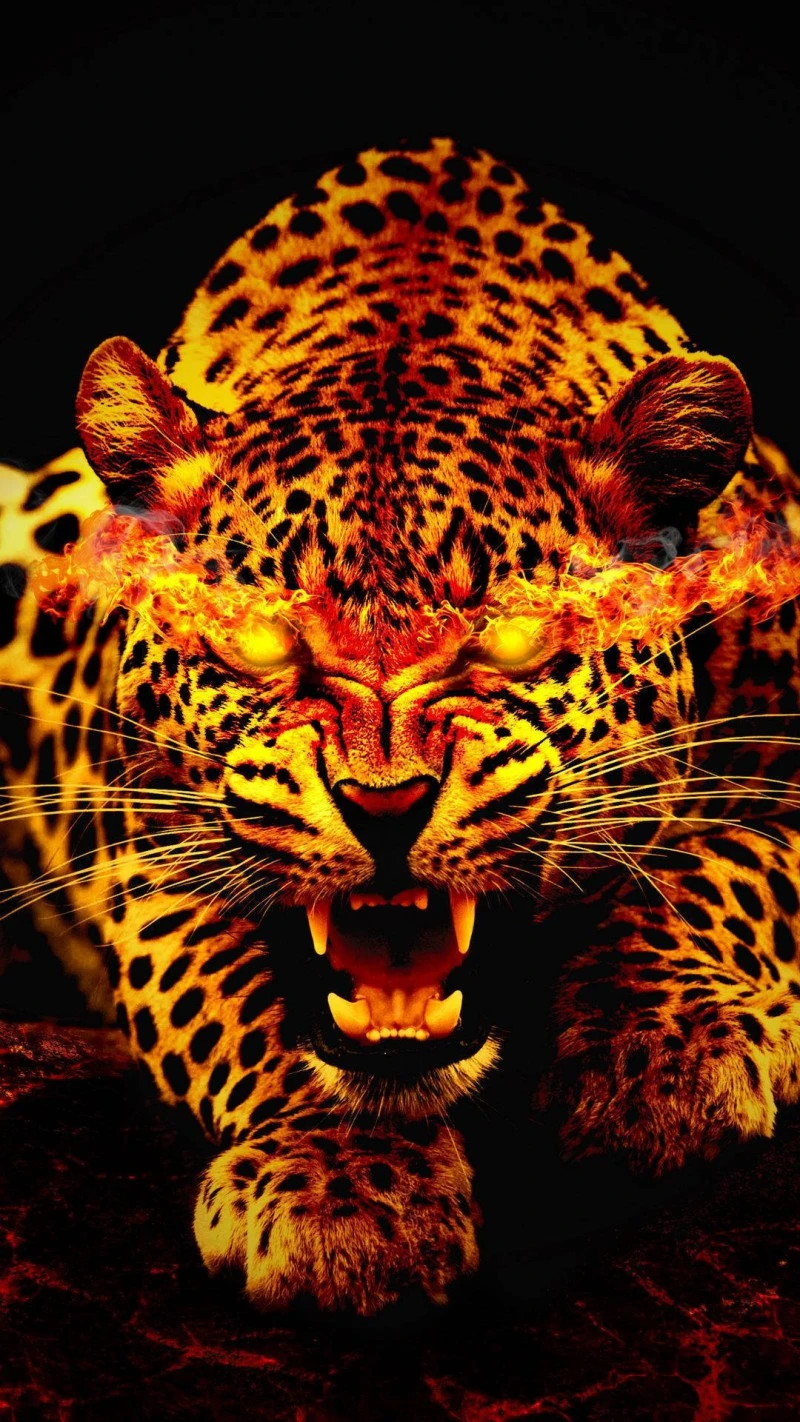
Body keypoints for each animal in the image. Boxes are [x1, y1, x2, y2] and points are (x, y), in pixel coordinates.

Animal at [2, 138, 800, 1316]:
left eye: (514, 636)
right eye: (256, 638)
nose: (385, 806)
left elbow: (726, 864)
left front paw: (662, 1051)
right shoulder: (151, 861)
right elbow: (248, 1006)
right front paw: (342, 1193)